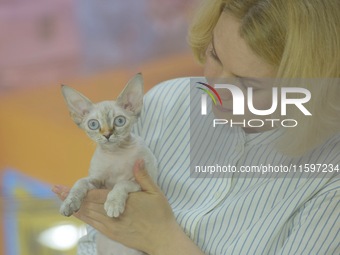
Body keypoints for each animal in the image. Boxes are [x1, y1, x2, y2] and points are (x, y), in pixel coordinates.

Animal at [60, 72, 158, 254]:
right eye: (93, 124)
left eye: (119, 121)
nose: (107, 134)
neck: (115, 154)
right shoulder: (97, 182)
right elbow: (79, 183)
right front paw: (69, 203)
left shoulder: (140, 183)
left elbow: (121, 184)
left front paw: (113, 204)